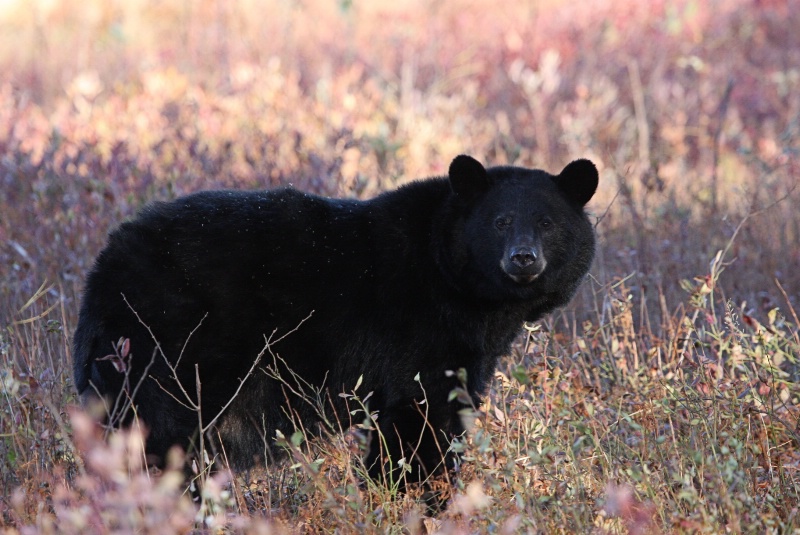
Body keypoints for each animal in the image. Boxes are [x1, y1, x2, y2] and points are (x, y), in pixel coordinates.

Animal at [73, 154, 598, 490]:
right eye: (500, 221)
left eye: (548, 222)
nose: (523, 259)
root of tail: (102, 270)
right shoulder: (418, 332)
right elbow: (421, 417)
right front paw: (414, 495)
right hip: (170, 342)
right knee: (161, 431)